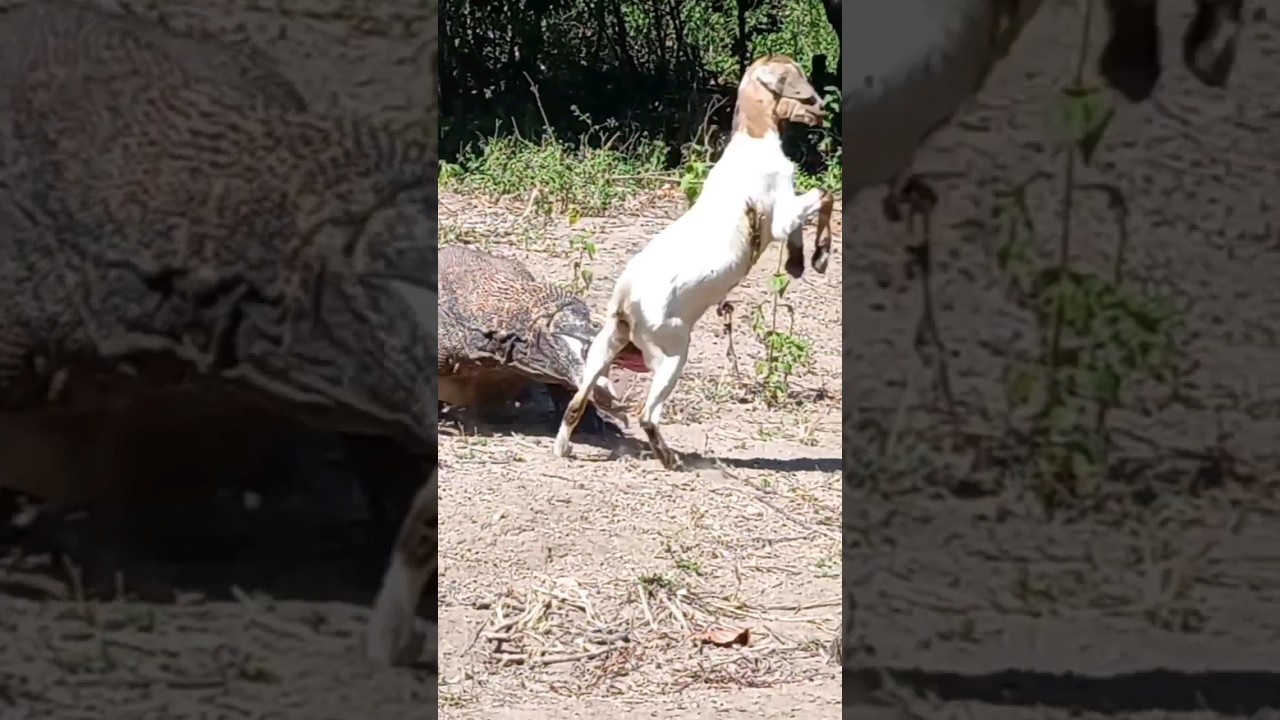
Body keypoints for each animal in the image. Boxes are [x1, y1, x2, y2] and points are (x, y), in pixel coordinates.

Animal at [552, 55, 834, 470]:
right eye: (798, 79)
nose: (822, 109)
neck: (753, 140)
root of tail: (626, 299)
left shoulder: (784, 214)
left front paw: (798, 263)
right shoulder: (781, 215)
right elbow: (823, 195)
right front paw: (820, 256)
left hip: (604, 346)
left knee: (577, 401)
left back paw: (565, 448)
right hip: (672, 353)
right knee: (646, 415)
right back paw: (670, 459)